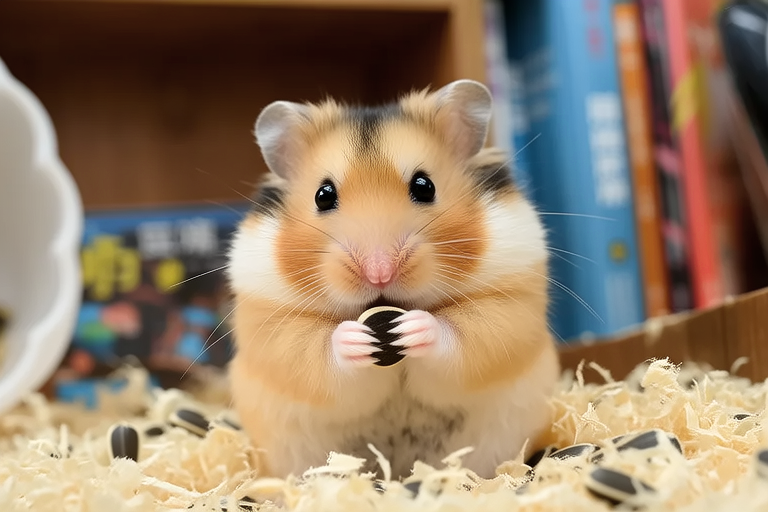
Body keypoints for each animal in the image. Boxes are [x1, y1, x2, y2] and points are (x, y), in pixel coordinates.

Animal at [226, 79, 561, 480]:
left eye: (424, 186)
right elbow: (316, 355)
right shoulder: (273, 324)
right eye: (323, 195)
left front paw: (412, 328)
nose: (379, 272)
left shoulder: (507, 303)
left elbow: (464, 338)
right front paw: (355, 338)